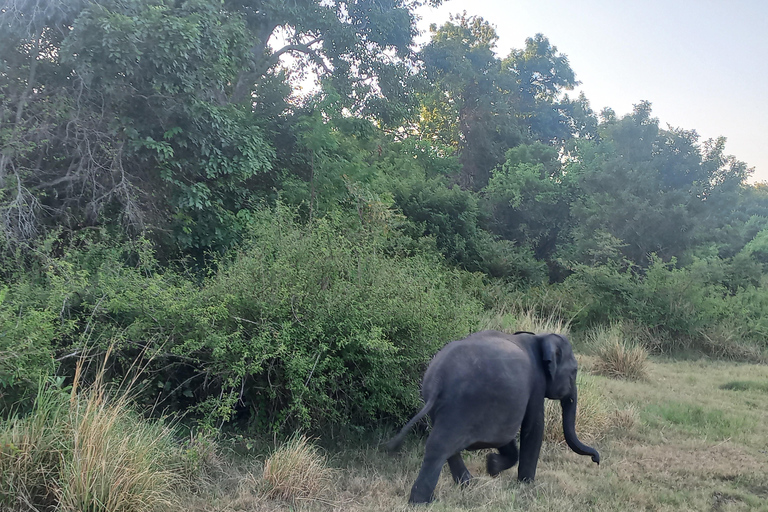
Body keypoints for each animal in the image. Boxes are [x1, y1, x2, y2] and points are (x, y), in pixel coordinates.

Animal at [388, 330, 596, 502]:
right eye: (574, 372)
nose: (597, 460)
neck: (540, 337)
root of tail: (438, 378)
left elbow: (506, 437)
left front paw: (492, 466)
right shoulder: (537, 384)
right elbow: (533, 427)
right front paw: (525, 484)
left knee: (447, 446)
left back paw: (468, 484)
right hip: (462, 405)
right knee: (439, 446)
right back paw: (422, 501)